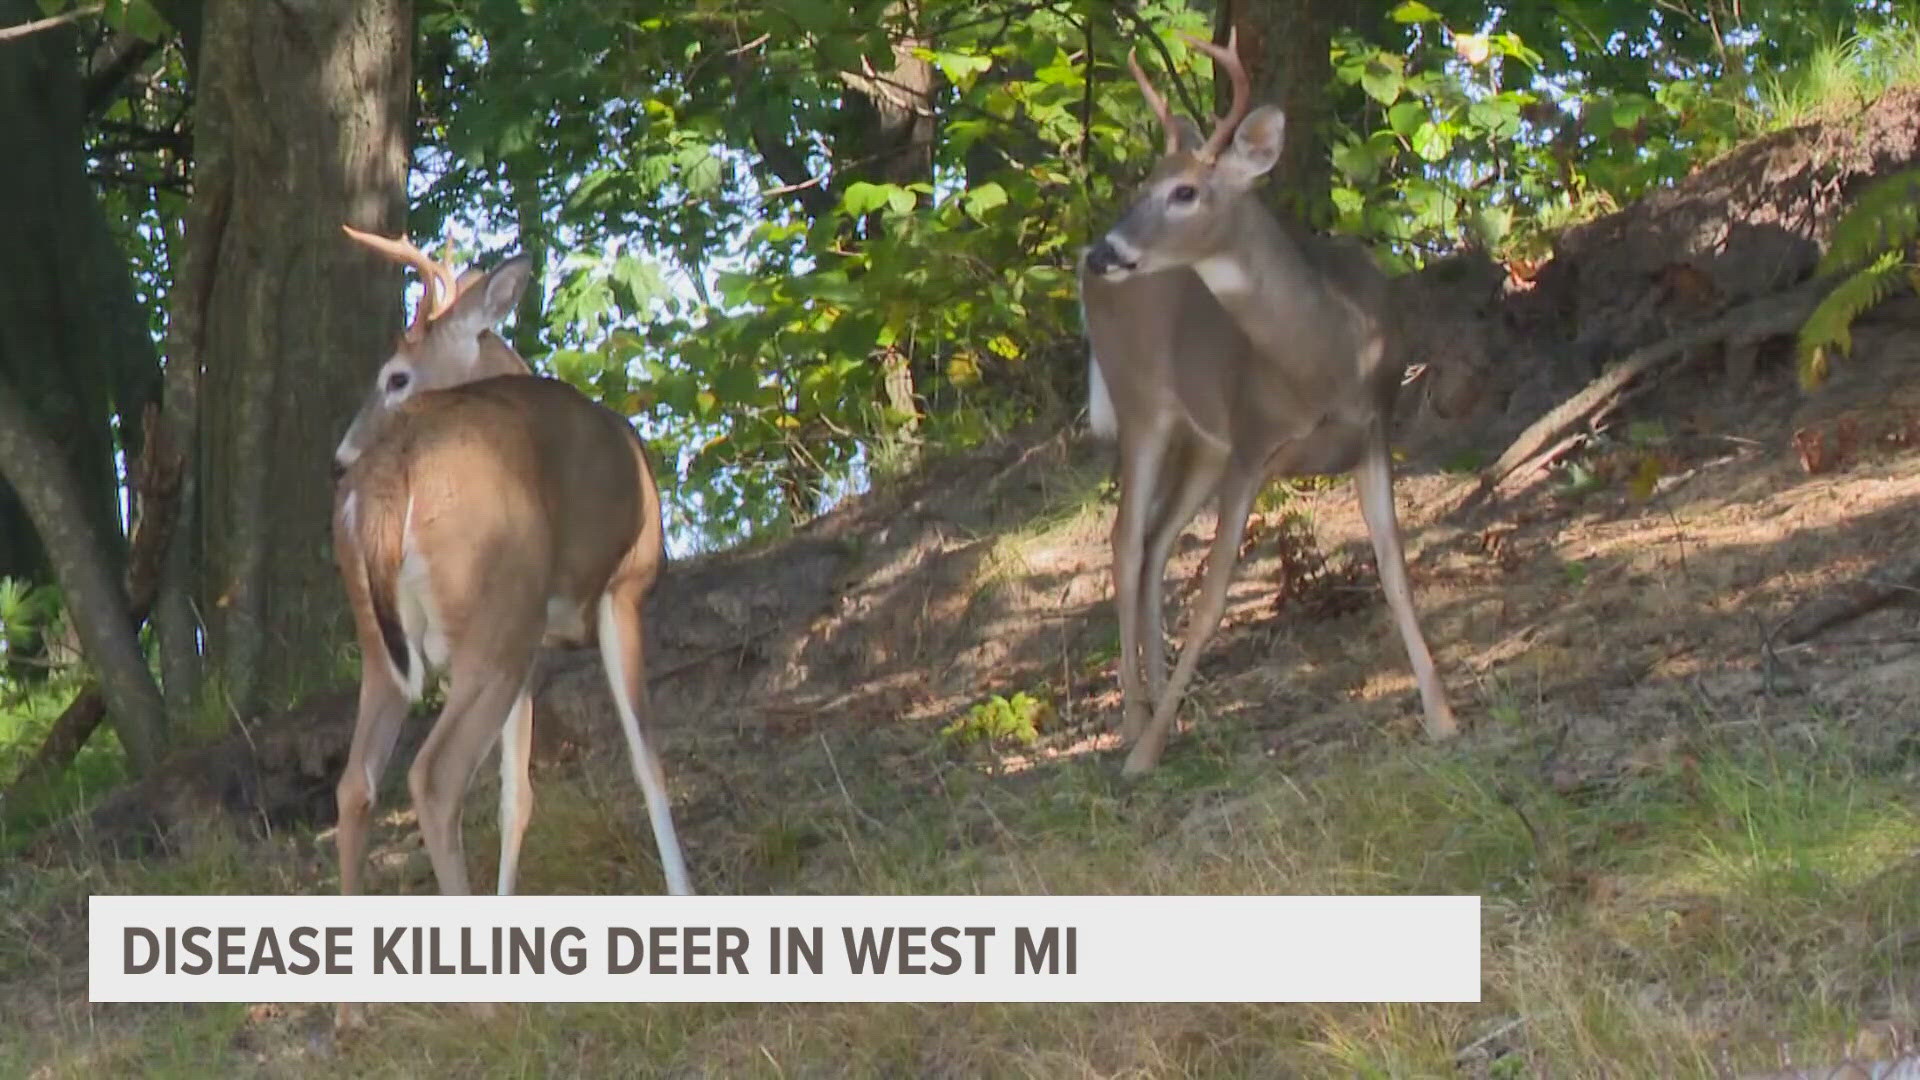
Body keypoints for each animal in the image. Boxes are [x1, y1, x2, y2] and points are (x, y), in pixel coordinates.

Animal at [332, 224, 698, 907]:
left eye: (396, 378)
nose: (338, 457)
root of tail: (391, 469)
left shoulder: (537, 652)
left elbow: (515, 798)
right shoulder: (624, 587)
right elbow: (648, 760)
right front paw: (684, 892)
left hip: (389, 643)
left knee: (355, 787)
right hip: (494, 613)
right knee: (434, 779)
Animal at [1082, 31, 1451, 772]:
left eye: (1185, 191)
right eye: (1141, 188)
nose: (1104, 252)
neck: (1327, 355)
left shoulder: (1374, 428)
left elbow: (1395, 567)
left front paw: (1442, 716)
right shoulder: (1253, 442)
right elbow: (1214, 594)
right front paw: (1145, 753)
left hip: (1202, 442)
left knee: (1156, 541)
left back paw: (1168, 709)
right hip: (1143, 404)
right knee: (1124, 538)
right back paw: (1137, 726)